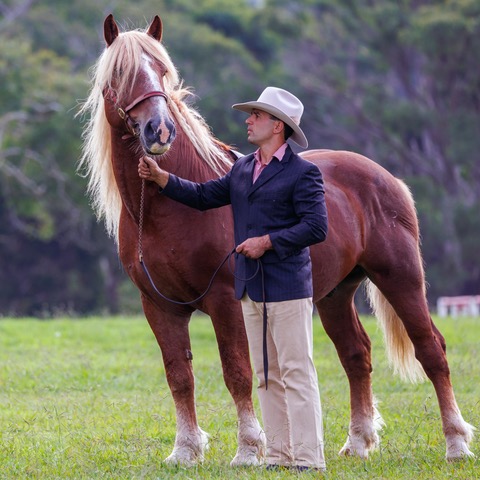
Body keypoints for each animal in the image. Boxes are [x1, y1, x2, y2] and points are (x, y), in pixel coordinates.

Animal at [78, 14, 475, 465]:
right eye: (120, 75)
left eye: (163, 71)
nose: (159, 130)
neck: (167, 212)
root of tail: (388, 179)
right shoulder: (159, 307)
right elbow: (179, 375)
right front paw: (185, 451)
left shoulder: (225, 300)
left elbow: (237, 371)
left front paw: (248, 450)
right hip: (335, 294)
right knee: (356, 355)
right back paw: (357, 443)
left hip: (401, 279)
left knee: (432, 351)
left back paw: (457, 444)